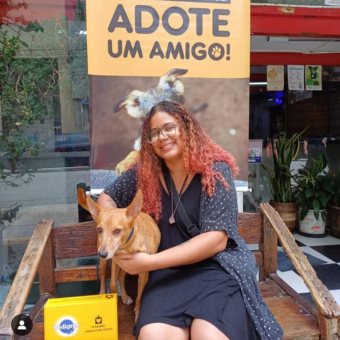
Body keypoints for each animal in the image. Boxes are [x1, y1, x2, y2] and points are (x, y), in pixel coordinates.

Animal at [77, 189, 161, 322]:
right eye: (99, 230)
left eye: (117, 231)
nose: (102, 254)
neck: (126, 247)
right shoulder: (115, 263)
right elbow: (112, 284)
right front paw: (113, 299)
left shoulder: (143, 275)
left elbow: (139, 297)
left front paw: (137, 313)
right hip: (104, 264)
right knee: (103, 278)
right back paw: (102, 294)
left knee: (121, 278)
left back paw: (125, 296)